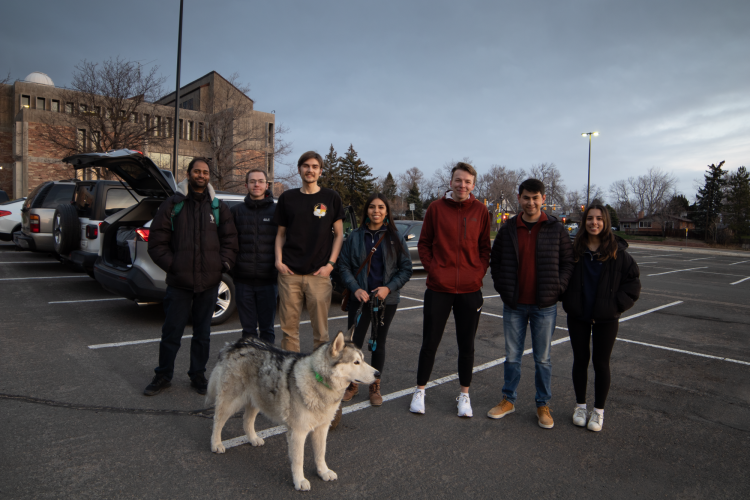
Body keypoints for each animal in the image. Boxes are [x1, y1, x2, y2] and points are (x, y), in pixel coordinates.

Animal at [207, 330, 378, 490]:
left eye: (363, 359)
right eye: (356, 362)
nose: (378, 373)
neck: (318, 379)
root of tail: (235, 344)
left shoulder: (322, 429)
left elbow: (320, 453)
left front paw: (323, 472)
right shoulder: (298, 432)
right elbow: (298, 460)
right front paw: (299, 481)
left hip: (258, 400)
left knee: (247, 420)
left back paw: (253, 438)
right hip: (231, 402)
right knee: (217, 421)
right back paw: (216, 444)